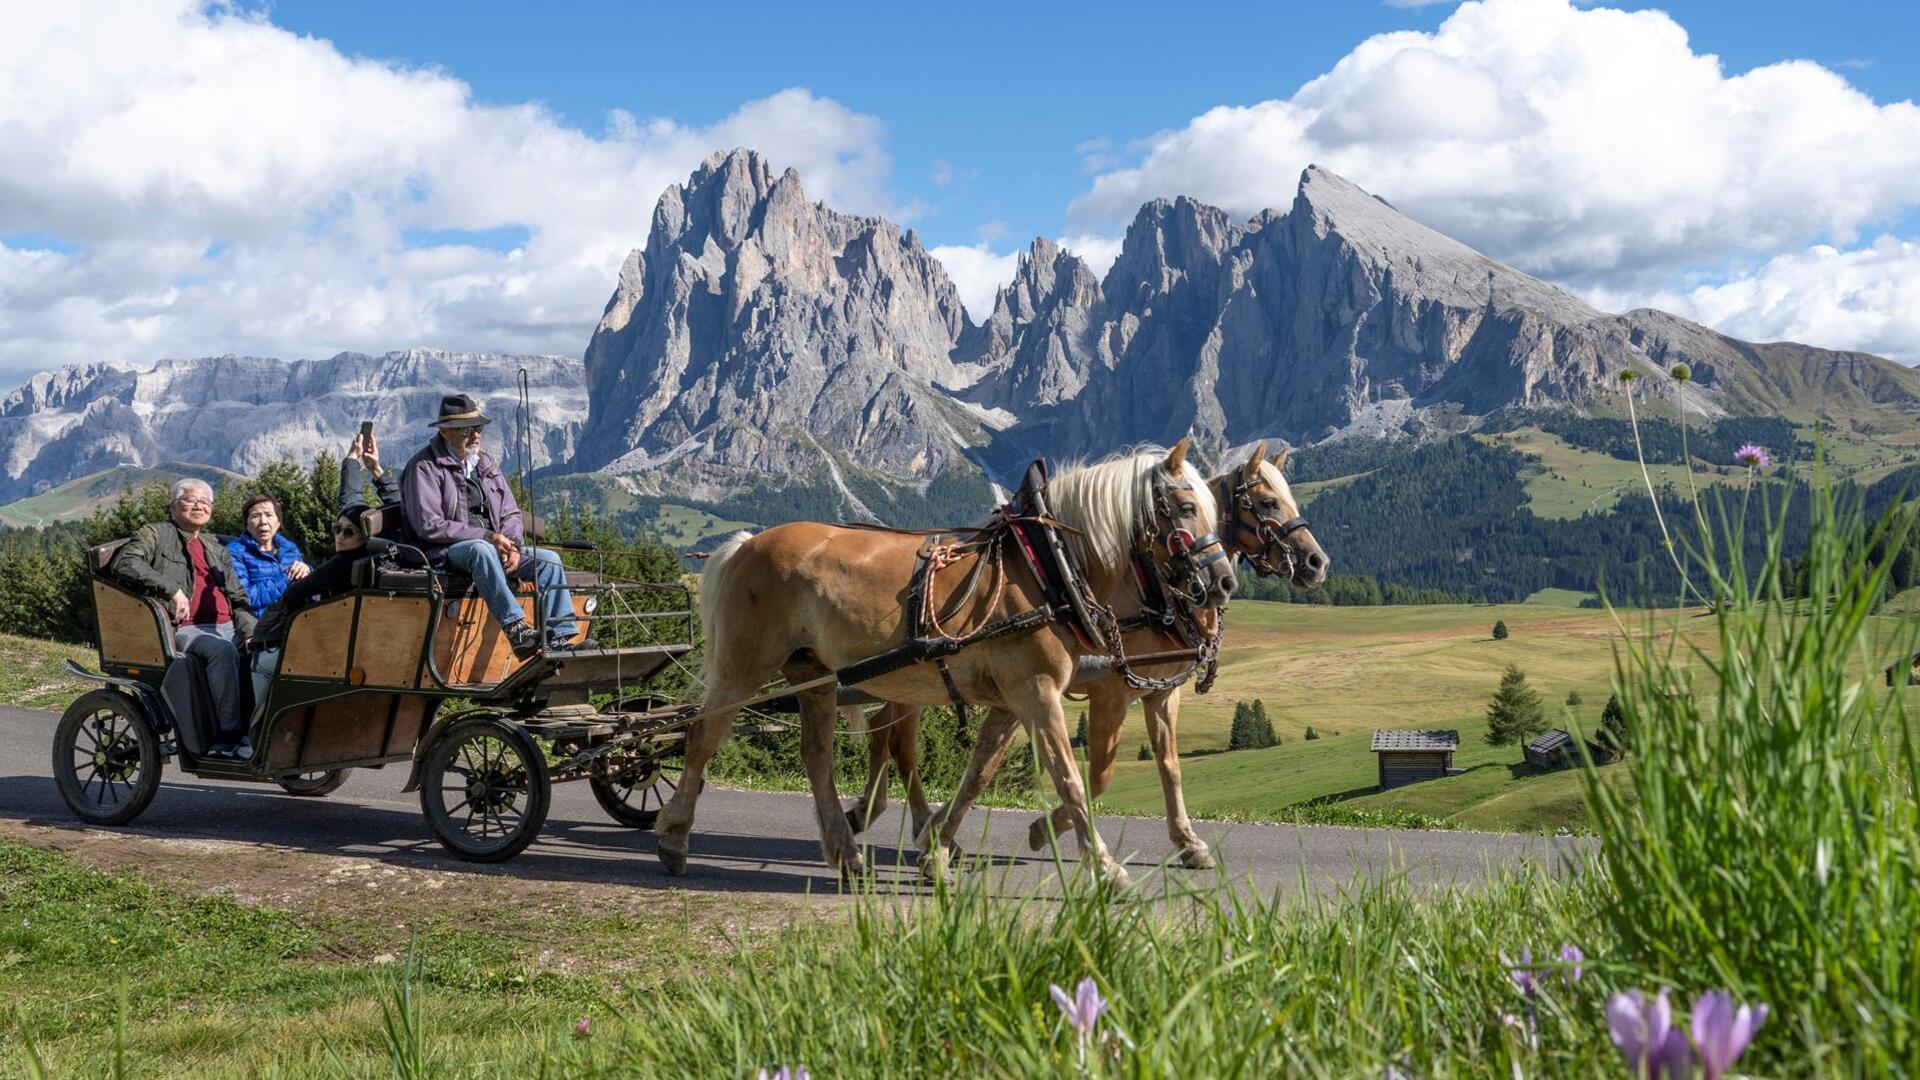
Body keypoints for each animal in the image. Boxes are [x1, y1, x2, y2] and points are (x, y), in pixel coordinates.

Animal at [661, 440, 1236, 886]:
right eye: (1186, 507)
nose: (1225, 582)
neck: (1046, 567)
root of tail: (744, 543)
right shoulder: (1039, 691)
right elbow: (1073, 778)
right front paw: (1105, 867)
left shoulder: (1016, 696)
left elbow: (979, 772)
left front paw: (937, 846)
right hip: (745, 663)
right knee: (703, 736)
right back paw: (674, 838)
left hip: (813, 673)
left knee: (817, 754)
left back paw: (846, 853)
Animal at [843, 441, 1328, 869]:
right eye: (1268, 502)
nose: (1316, 562)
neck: (1155, 590)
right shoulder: (1109, 690)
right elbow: (1096, 776)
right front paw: (1042, 829)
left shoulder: (1160, 692)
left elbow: (1169, 766)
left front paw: (1189, 843)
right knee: (898, 741)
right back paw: (897, 821)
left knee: (885, 734)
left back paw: (879, 816)